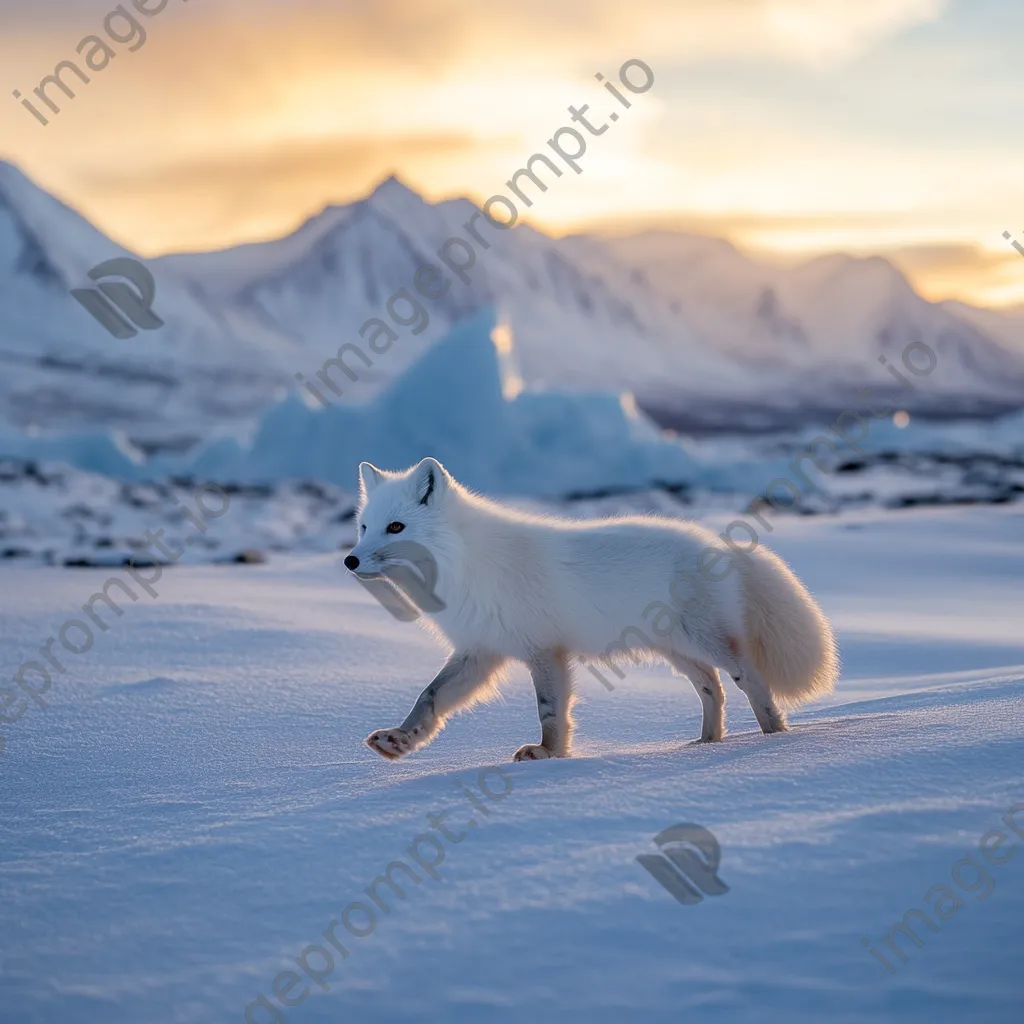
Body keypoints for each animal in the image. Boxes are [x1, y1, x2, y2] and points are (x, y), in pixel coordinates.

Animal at [348, 456, 835, 761]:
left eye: (396, 527)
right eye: (365, 526)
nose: (350, 560)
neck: (468, 566)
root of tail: (720, 544)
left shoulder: (544, 649)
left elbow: (550, 709)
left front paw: (549, 754)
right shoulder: (480, 650)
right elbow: (429, 696)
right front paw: (399, 740)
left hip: (707, 641)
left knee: (749, 680)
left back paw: (773, 739)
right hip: (676, 650)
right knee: (711, 687)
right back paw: (706, 742)